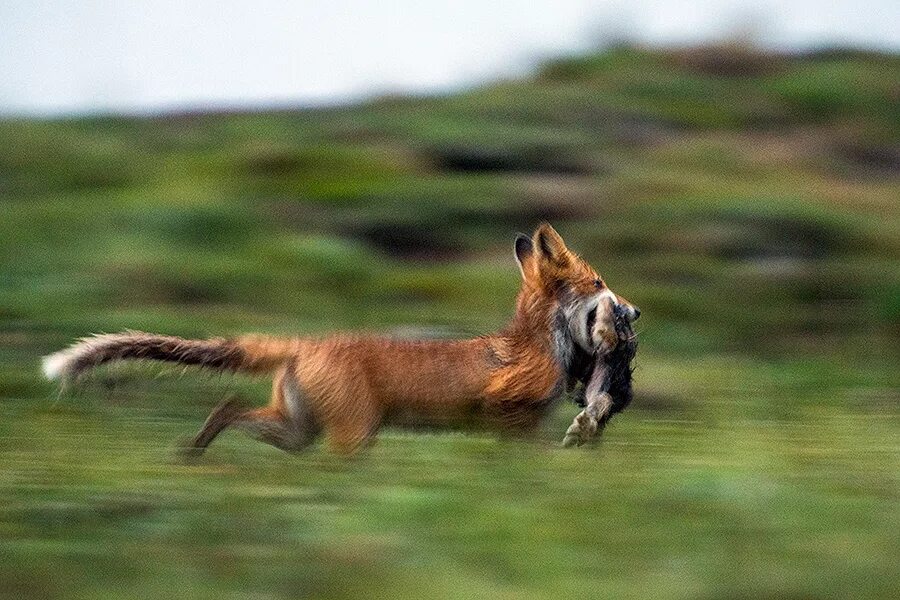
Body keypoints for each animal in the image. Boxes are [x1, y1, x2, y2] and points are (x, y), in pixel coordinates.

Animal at [42, 225, 640, 454]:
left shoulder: (519, 424)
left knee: (230, 405)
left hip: (297, 430)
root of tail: (306, 342)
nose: (634, 312)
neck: (542, 346)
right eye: (599, 284)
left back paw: (193, 451)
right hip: (352, 432)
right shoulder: (507, 413)